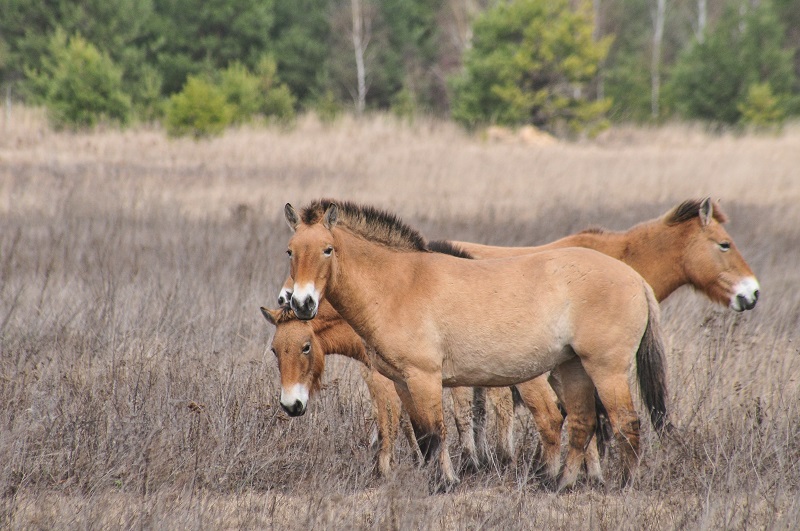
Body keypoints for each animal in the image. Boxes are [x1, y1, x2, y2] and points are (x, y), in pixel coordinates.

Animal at [283, 198, 669, 490]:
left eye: (327, 250)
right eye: (290, 251)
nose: (300, 303)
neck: (398, 285)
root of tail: (635, 279)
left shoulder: (424, 378)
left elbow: (435, 434)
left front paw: (443, 483)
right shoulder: (402, 382)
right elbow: (421, 435)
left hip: (606, 370)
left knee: (626, 422)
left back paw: (625, 485)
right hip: (572, 367)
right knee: (582, 422)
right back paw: (560, 484)